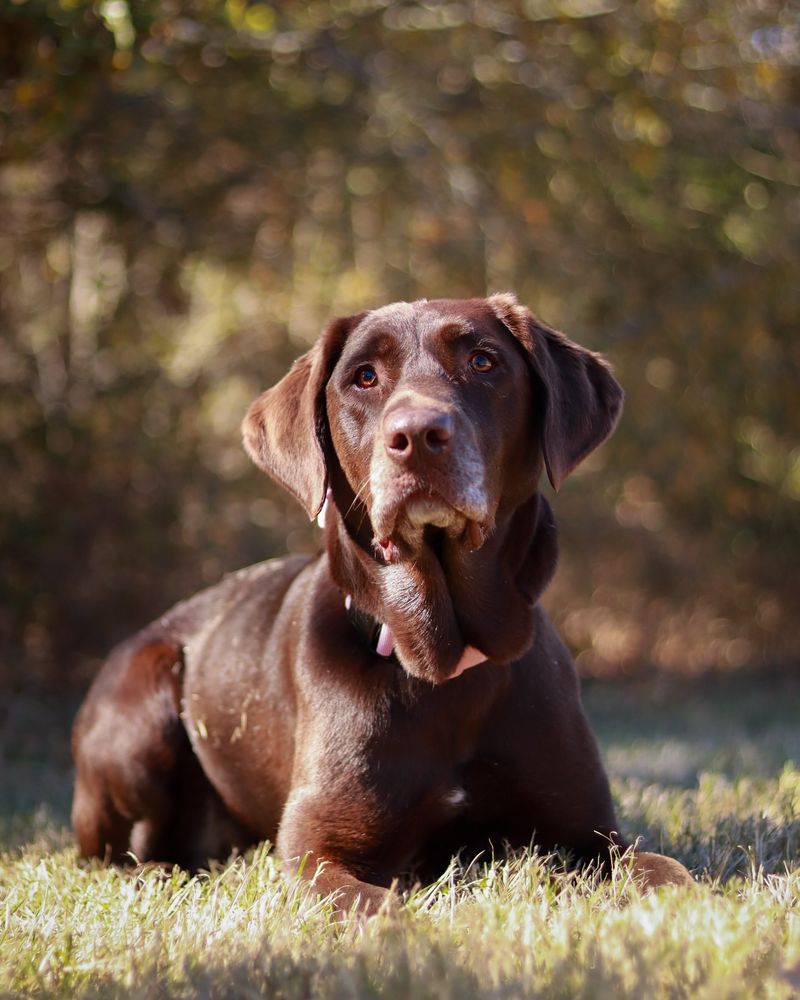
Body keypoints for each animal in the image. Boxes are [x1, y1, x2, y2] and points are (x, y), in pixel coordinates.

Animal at [72, 292, 692, 912]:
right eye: (364, 377)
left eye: (483, 362)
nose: (417, 435)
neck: (444, 668)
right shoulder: (317, 851)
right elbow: (378, 906)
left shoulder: (592, 835)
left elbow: (668, 873)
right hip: (145, 702)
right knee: (110, 856)